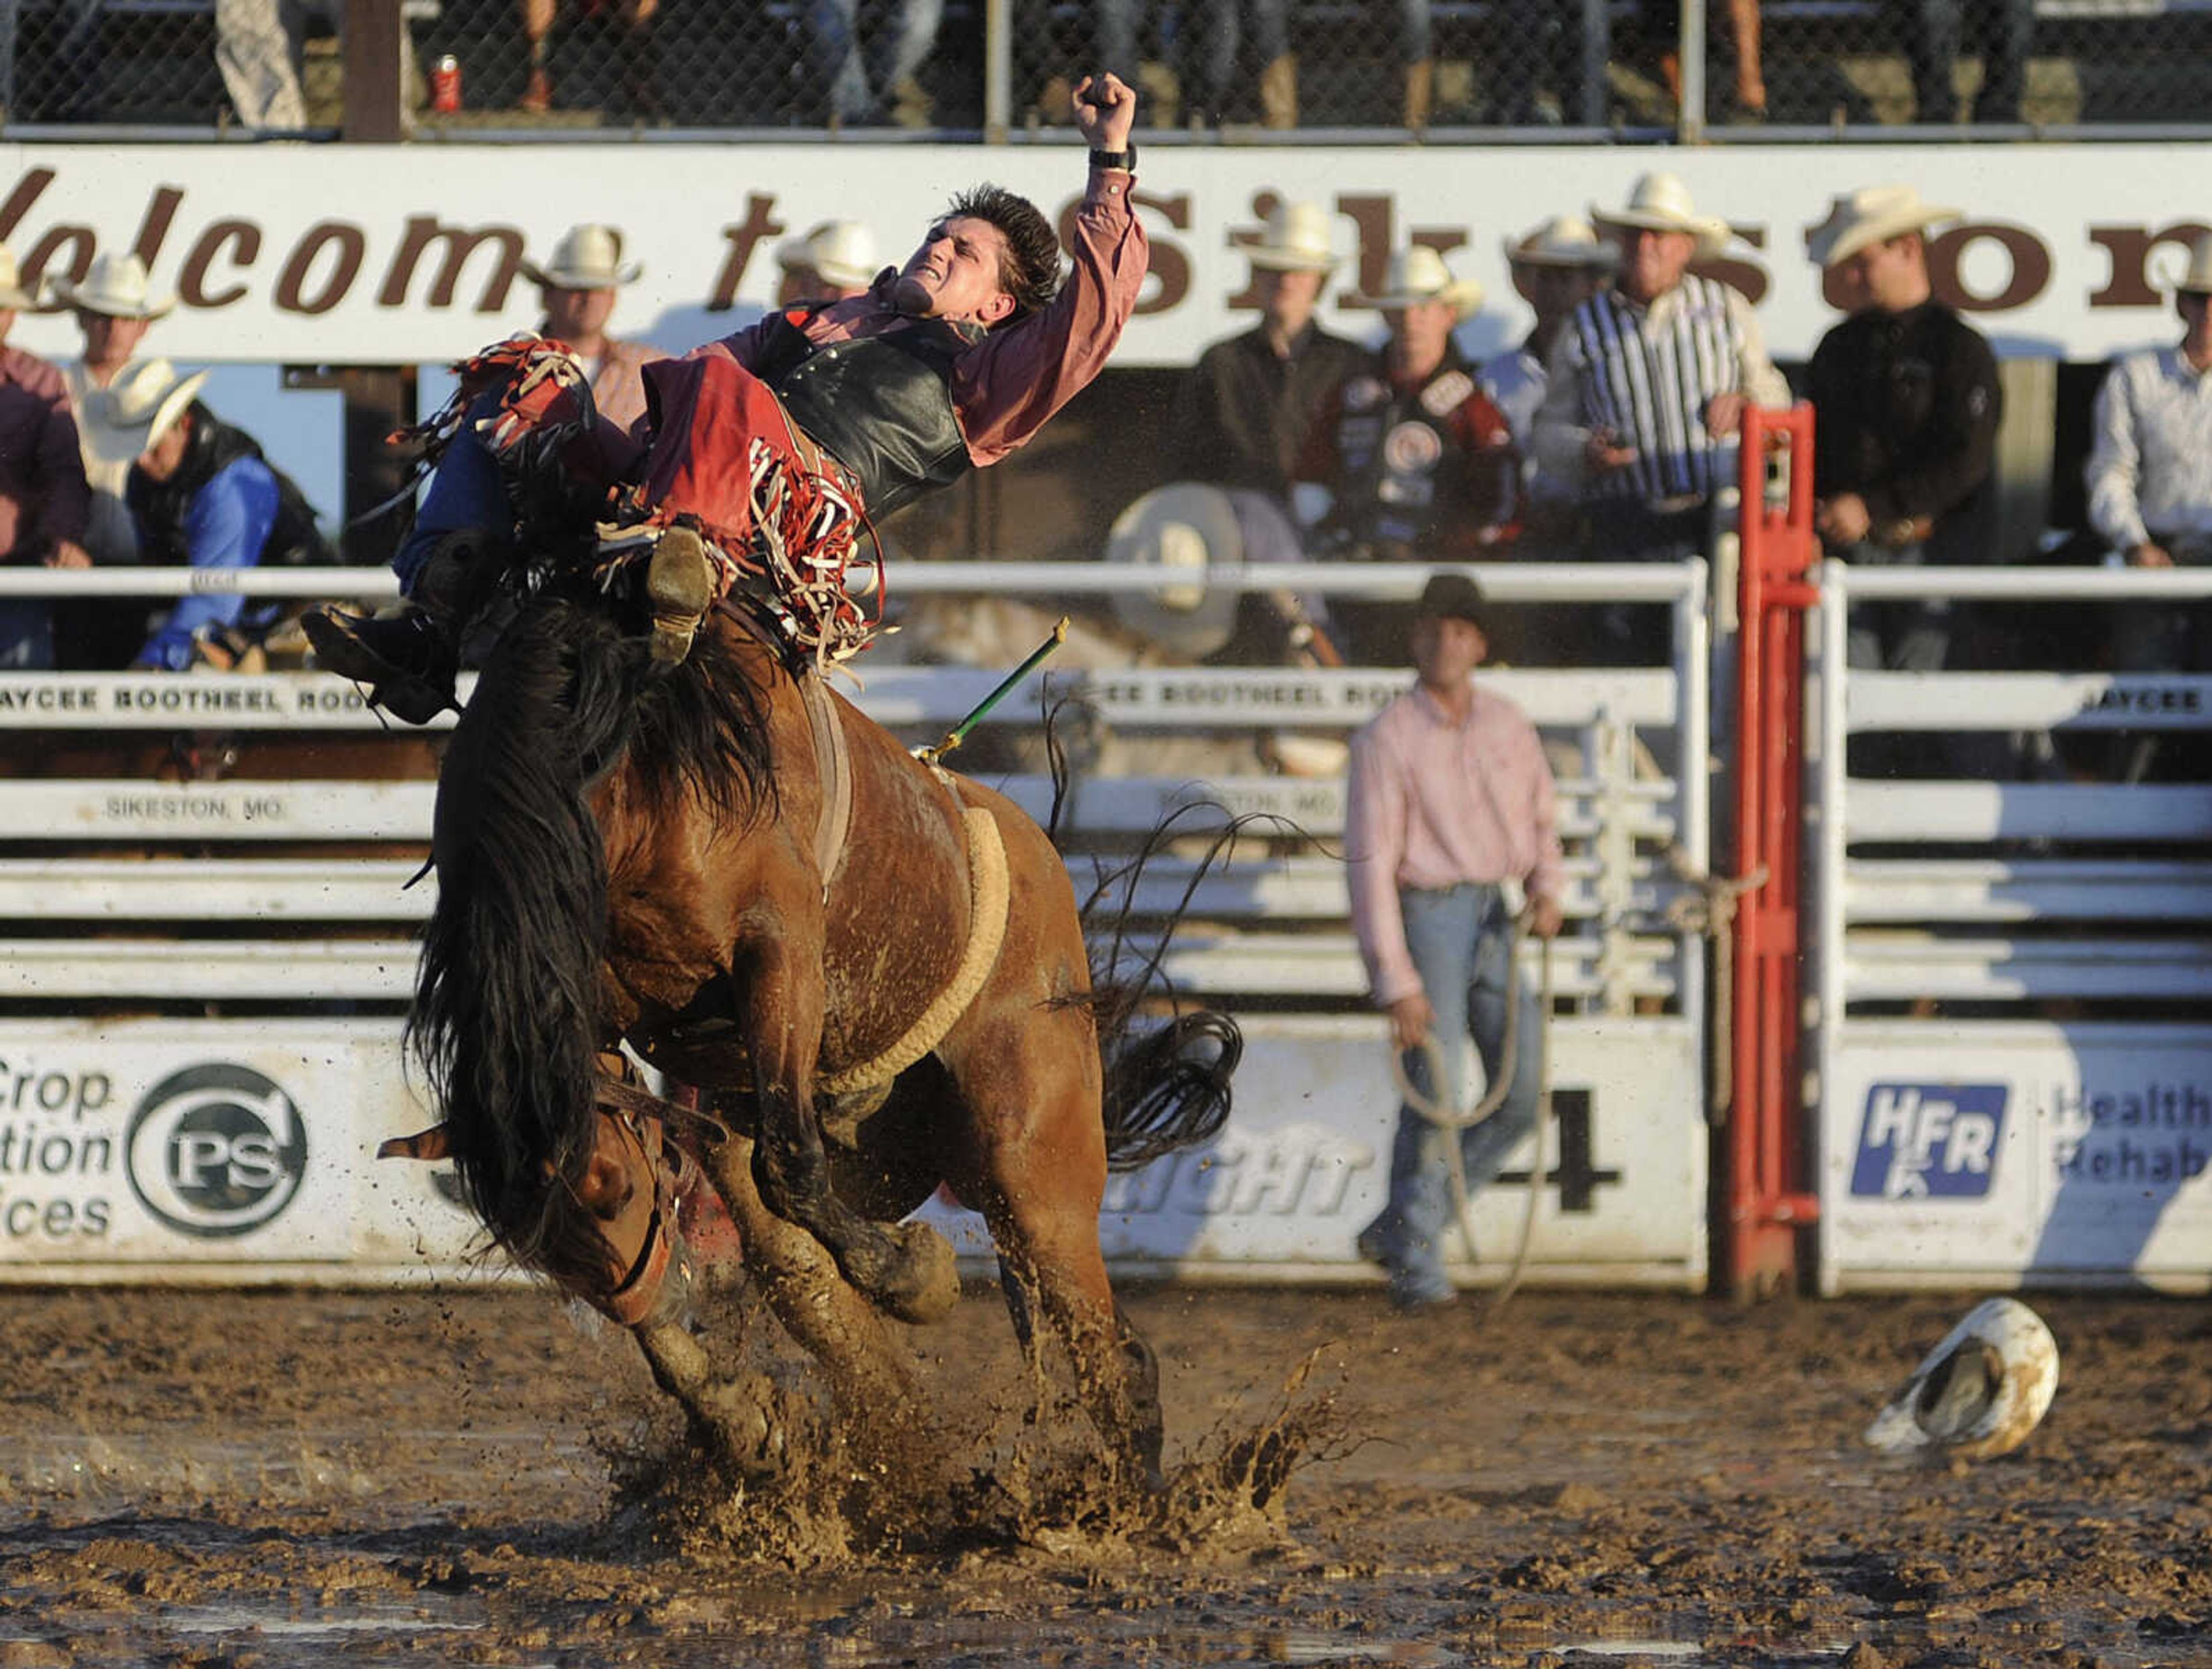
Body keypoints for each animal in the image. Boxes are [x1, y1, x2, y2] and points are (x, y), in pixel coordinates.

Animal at [407, 583, 1238, 1477]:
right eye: (535, 1247)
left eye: (614, 1193)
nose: (649, 1297)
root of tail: (1032, 846)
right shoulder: (588, 1025)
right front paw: (736, 1413)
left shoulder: (780, 953)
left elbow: (792, 1164)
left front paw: (915, 1273)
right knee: (804, 1273)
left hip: (1031, 1154)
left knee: (1103, 1342)